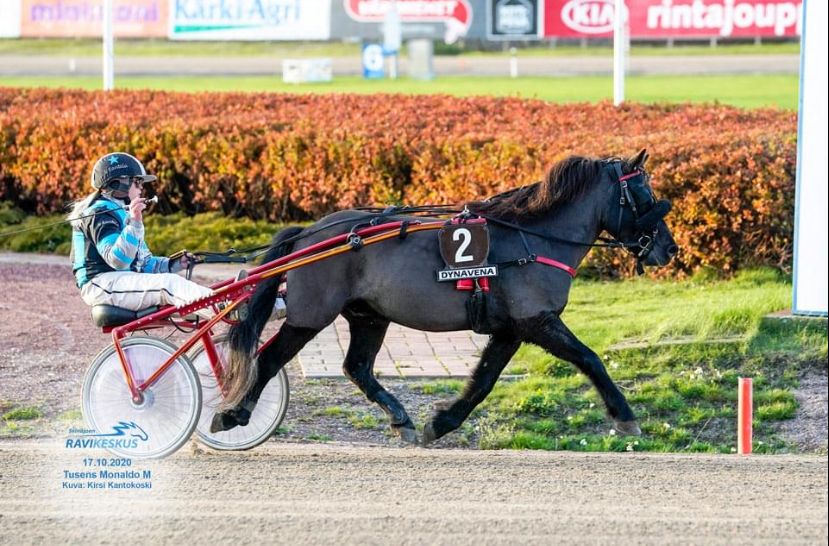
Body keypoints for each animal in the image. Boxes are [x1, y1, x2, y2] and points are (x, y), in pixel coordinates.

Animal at [210, 149, 676, 442]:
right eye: (643, 195)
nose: (669, 248)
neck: (532, 239)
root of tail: (309, 233)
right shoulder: (537, 320)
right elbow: (590, 358)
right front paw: (625, 416)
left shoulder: (510, 329)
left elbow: (484, 380)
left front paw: (442, 422)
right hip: (311, 314)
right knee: (269, 357)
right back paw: (232, 414)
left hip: (368, 315)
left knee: (356, 366)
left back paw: (400, 418)